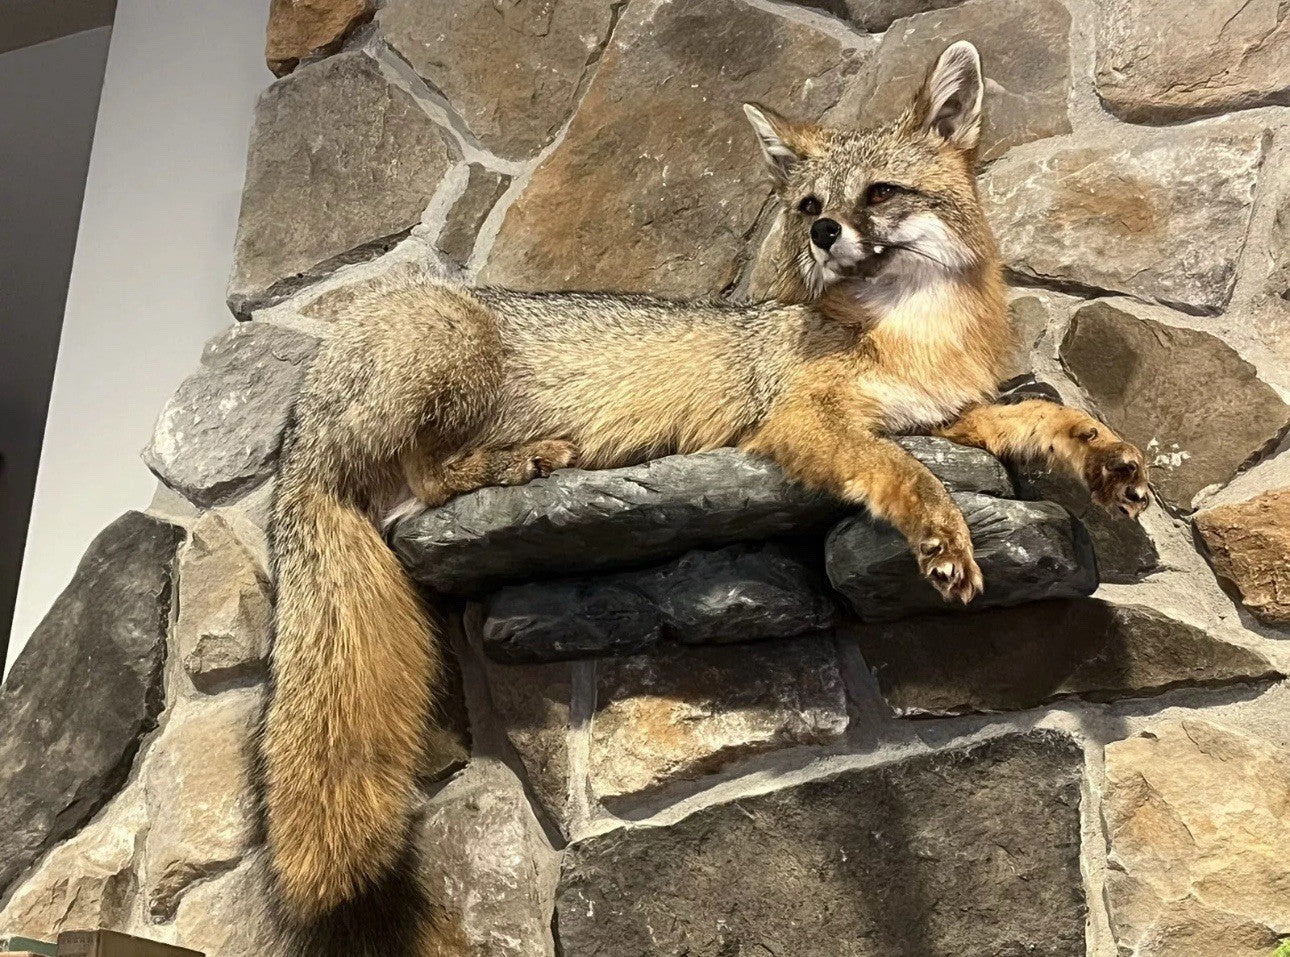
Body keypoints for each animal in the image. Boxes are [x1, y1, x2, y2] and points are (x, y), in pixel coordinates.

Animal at [260, 41, 1151, 955]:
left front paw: (1106, 456)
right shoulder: (805, 418)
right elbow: (901, 471)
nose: (825, 233)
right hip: (454, 358)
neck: (912, 334)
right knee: (430, 480)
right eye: (811, 207)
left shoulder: (948, 414)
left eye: (878, 195)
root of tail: (303, 416)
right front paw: (941, 535)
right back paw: (520, 459)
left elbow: (1039, 415)